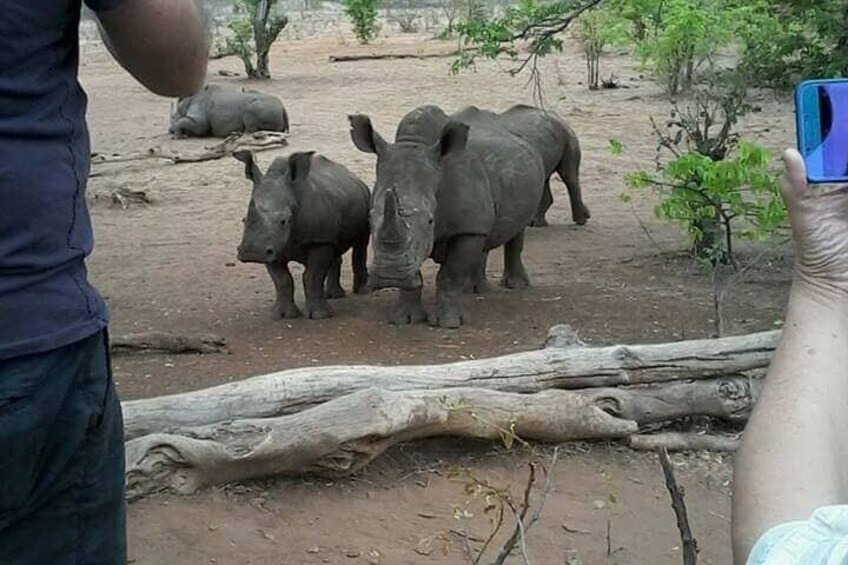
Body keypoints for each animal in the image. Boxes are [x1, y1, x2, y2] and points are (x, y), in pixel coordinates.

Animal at [235, 149, 374, 318]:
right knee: (335, 247)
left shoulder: (319, 240)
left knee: (361, 244)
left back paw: (362, 291)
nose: (252, 253)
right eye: (243, 220)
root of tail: (355, 177)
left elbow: (312, 276)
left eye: (284, 221)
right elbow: (282, 280)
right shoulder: (272, 247)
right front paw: (283, 315)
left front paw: (320, 315)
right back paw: (333, 295)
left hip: (367, 199)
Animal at [348, 103, 548, 328]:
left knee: (516, 230)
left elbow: (450, 274)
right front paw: (404, 319)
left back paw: (516, 286)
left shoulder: (467, 230)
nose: (389, 275)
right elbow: (415, 272)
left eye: (430, 221)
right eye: (370, 218)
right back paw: (473, 290)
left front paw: (448, 323)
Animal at [454, 103, 588, 227]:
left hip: (567, 135)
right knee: (545, 178)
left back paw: (580, 221)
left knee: (568, 176)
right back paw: (536, 223)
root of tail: (558, 117)